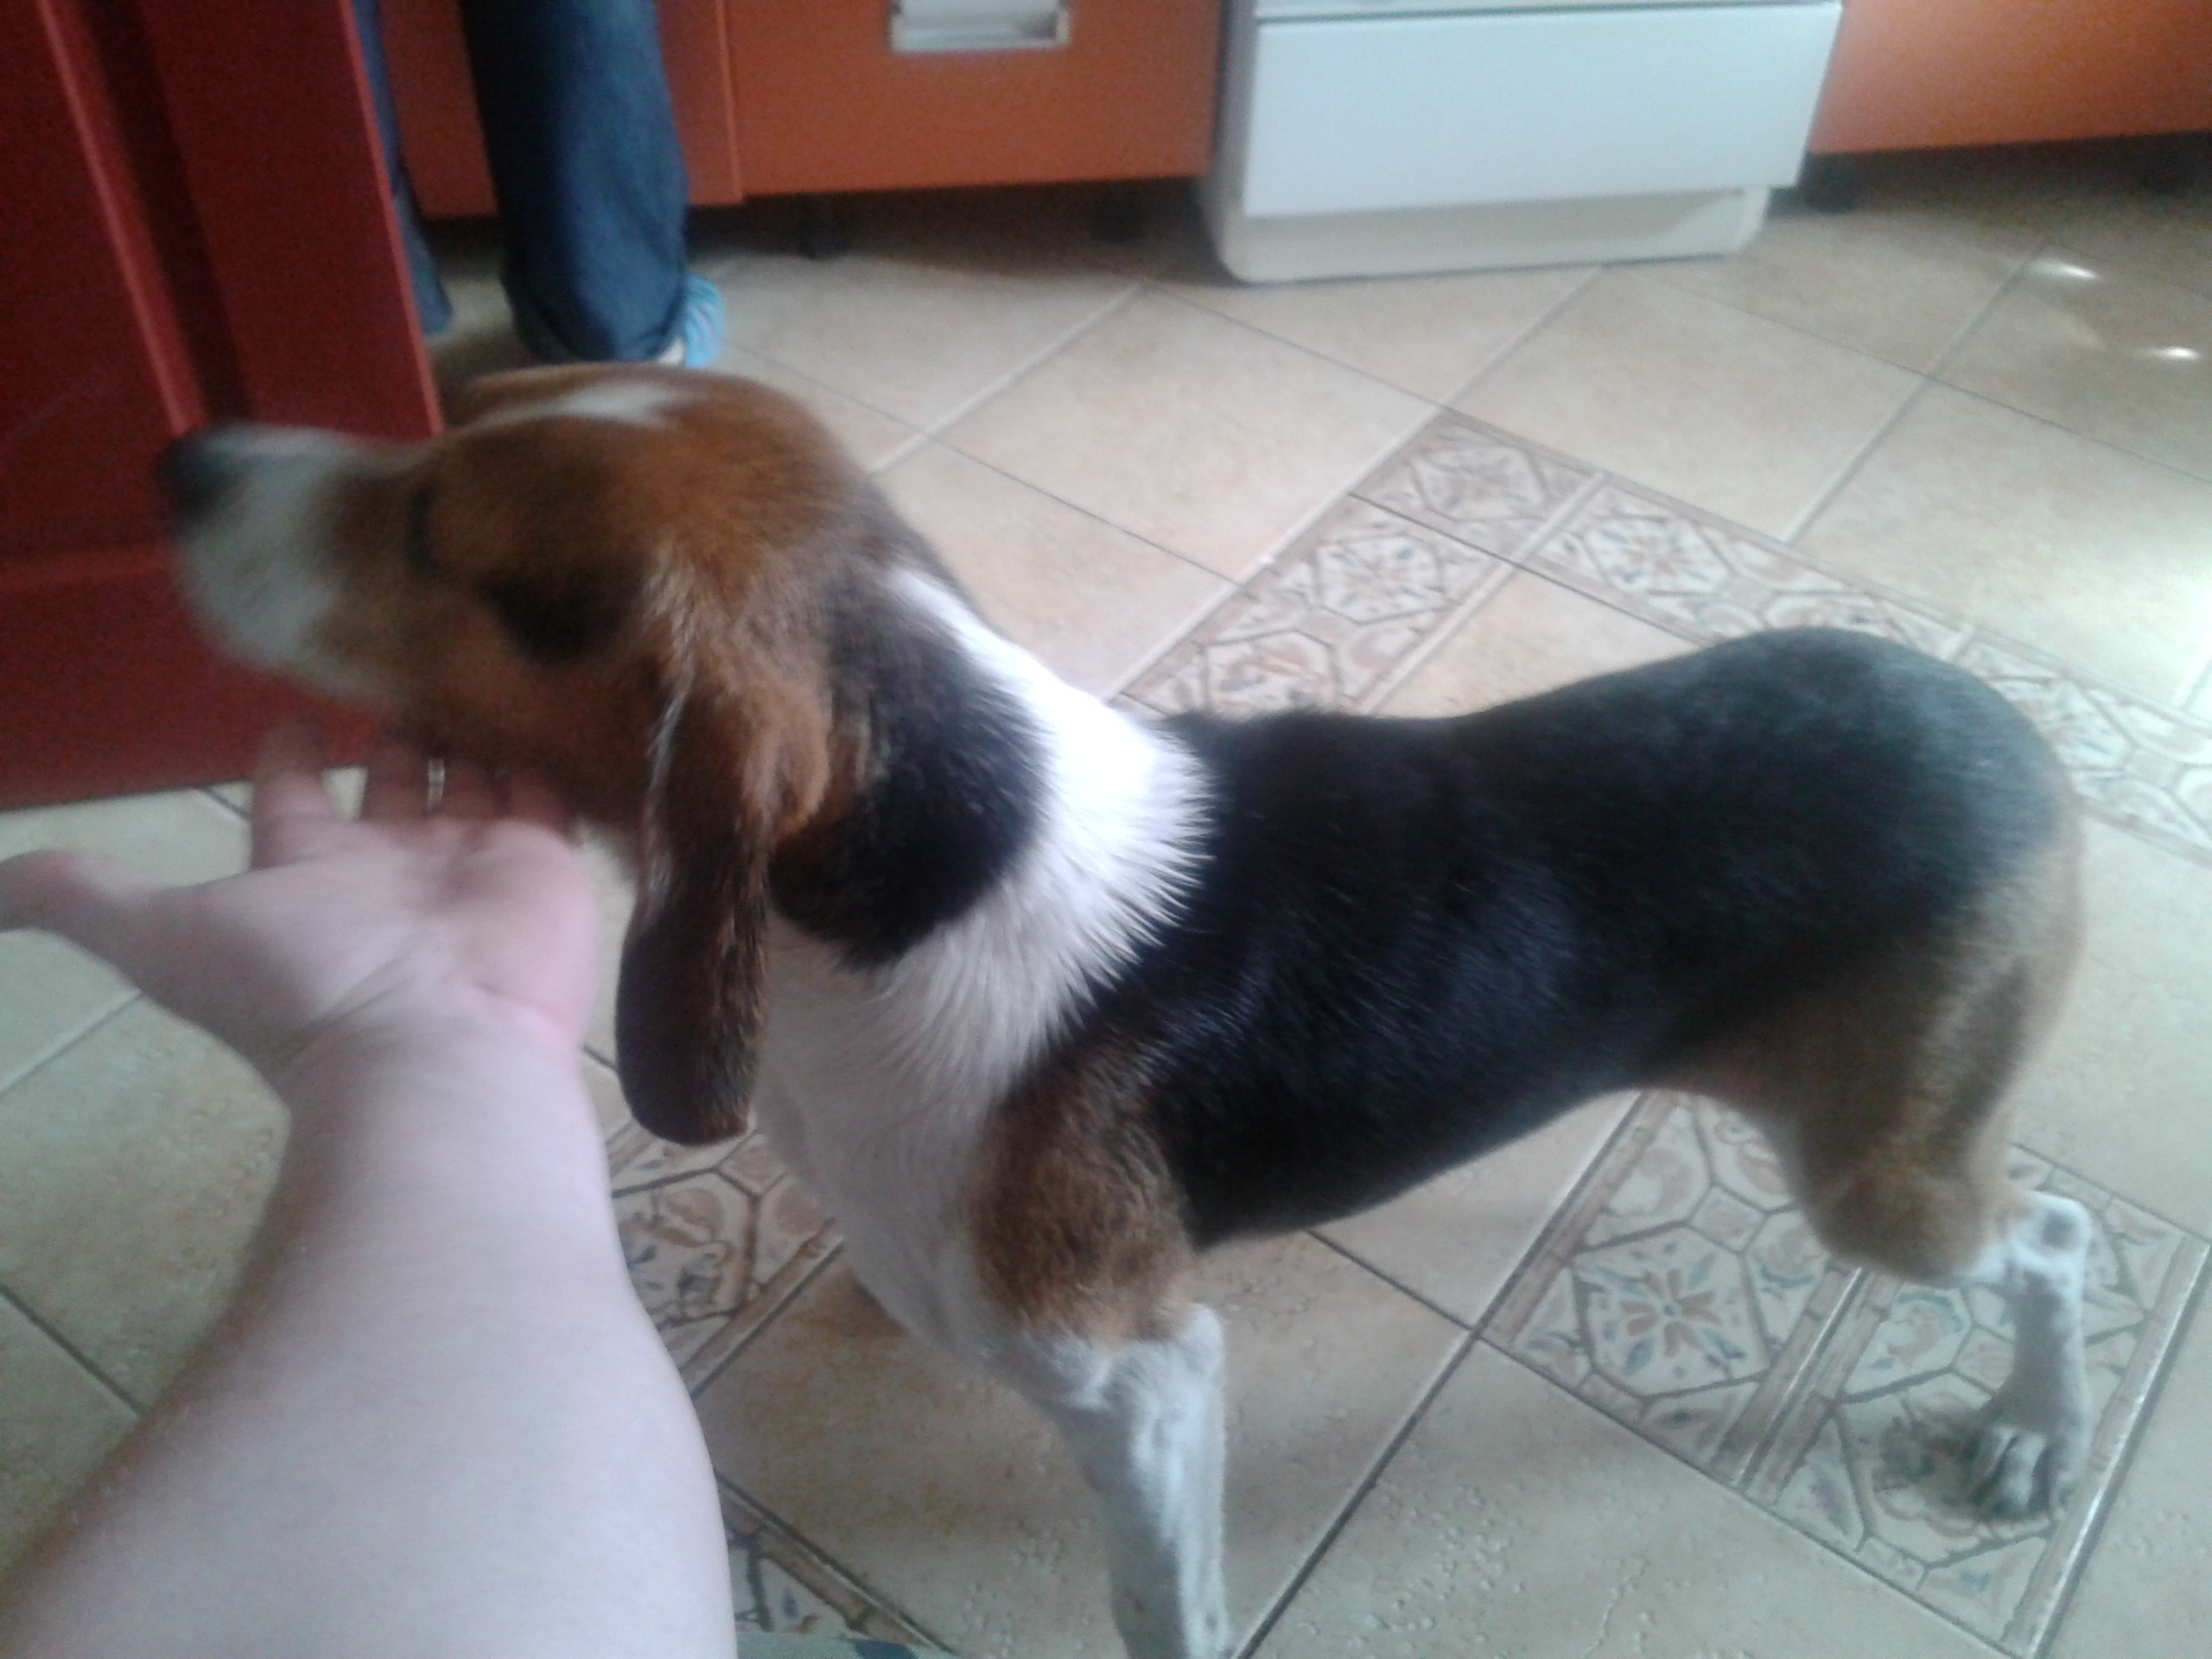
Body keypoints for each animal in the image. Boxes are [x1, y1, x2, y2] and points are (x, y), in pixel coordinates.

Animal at [163, 365, 2091, 1659]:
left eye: (435, 537)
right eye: (459, 396)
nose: (182, 458)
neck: (913, 888)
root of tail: (2004, 731)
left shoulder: (1148, 1384)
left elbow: (1157, 1602)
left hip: (1883, 1182)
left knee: (2053, 1236)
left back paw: (2026, 1430)